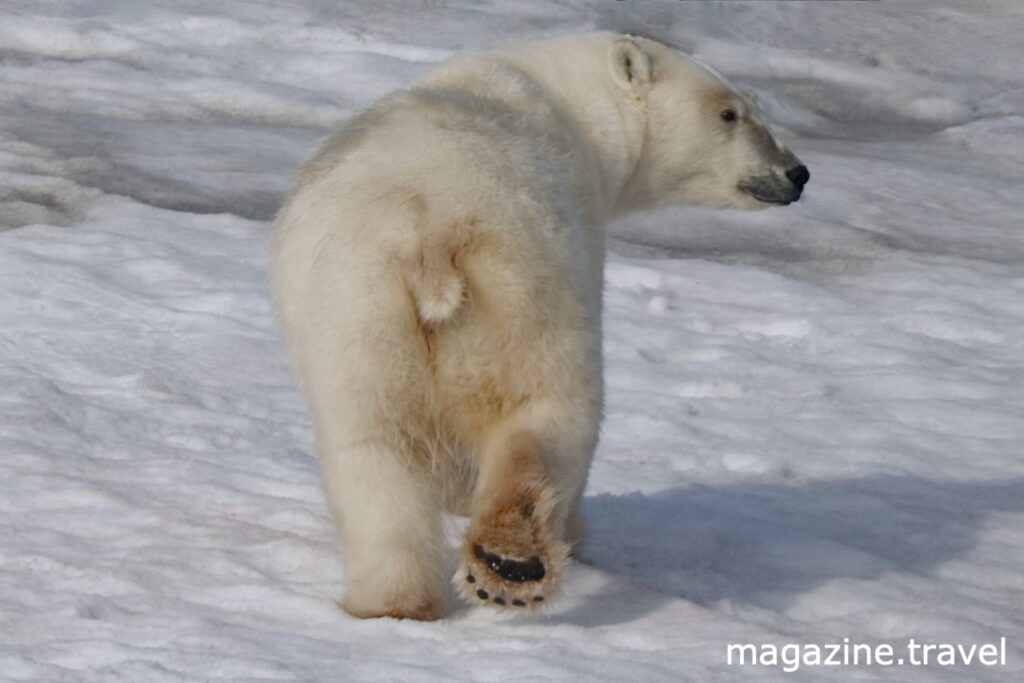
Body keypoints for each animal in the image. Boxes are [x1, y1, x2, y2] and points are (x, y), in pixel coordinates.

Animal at [272, 30, 806, 618]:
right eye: (730, 112)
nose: (797, 173)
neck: (563, 96)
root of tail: (430, 233)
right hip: (521, 284)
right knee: (548, 410)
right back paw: (511, 563)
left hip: (355, 308)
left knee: (369, 447)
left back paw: (395, 601)